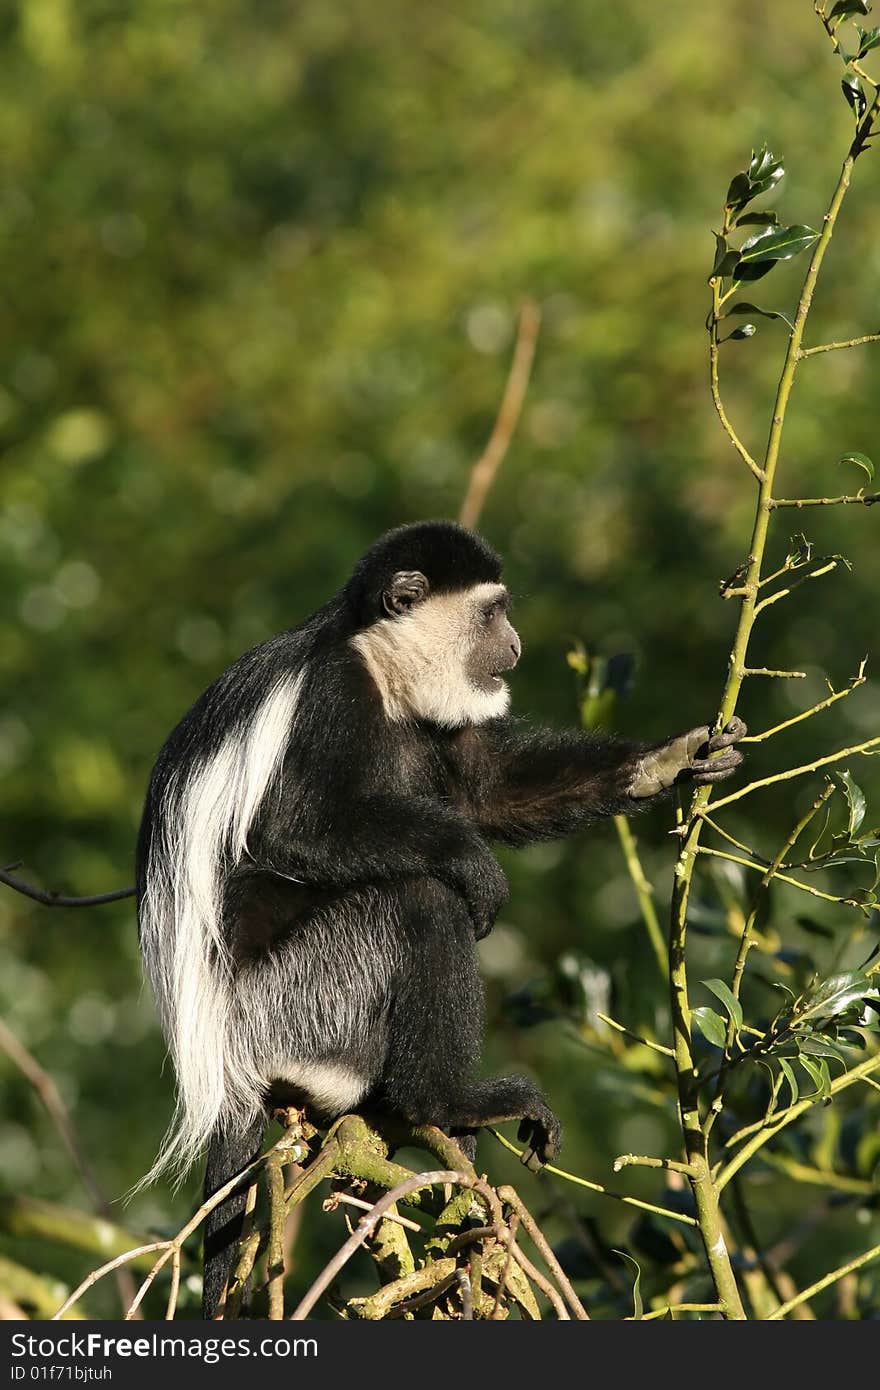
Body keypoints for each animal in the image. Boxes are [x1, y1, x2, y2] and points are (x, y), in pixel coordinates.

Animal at [137, 522, 739, 1312]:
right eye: (494, 612)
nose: (514, 646)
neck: (378, 661)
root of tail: (221, 1065)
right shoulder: (331, 699)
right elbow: (292, 832)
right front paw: (473, 864)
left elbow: (489, 789)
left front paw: (668, 760)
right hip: (295, 1002)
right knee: (416, 903)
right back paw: (446, 1097)